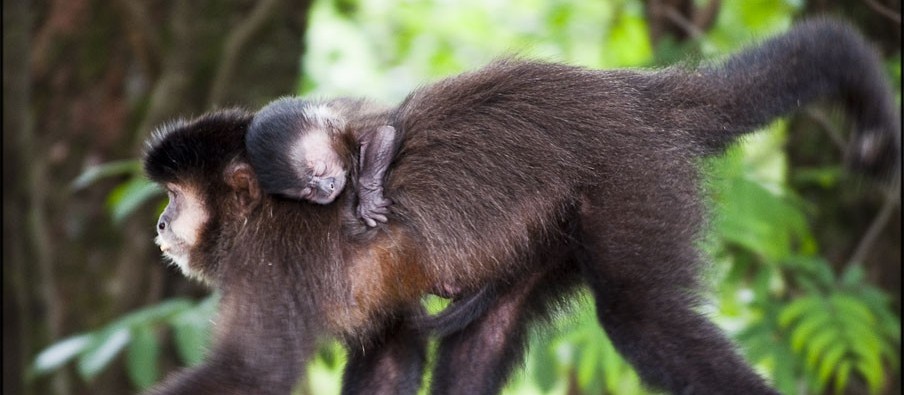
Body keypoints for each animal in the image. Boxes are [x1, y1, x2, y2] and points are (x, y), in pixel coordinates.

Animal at [249, 97, 400, 227]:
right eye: (309, 192)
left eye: (321, 170)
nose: (327, 189)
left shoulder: (351, 127)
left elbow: (384, 133)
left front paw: (369, 200)